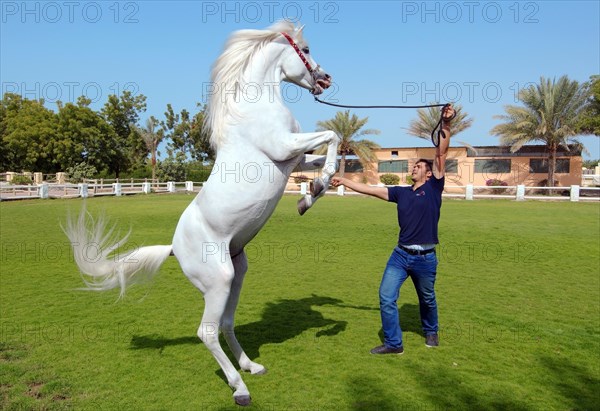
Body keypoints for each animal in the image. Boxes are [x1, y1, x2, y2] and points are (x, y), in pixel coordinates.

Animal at [65, 21, 340, 406]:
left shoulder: (294, 160)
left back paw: (250, 366)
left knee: (225, 324)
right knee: (206, 332)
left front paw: (311, 193)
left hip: (237, 274)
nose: (325, 79)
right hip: (218, 281)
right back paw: (239, 388)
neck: (256, 106)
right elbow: (333, 136)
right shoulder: (283, 148)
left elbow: (332, 154)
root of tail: (174, 248)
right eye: (307, 48)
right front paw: (313, 191)